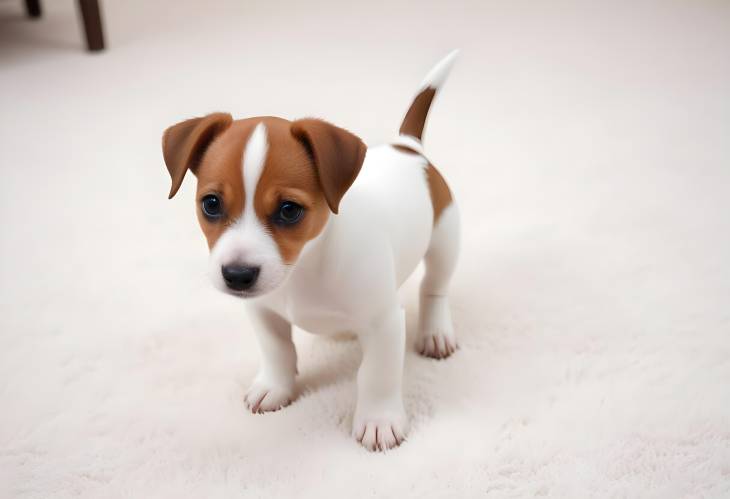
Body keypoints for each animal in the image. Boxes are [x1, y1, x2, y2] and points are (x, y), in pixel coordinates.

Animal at [163, 51, 460, 454]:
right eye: (211, 204)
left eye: (289, 210)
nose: (237, 275)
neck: (304, 268)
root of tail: (407, 147)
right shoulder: (263, 311)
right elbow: (278, 351)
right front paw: (275, 387)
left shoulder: (383, 323)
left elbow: (377, 374)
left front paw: (379, 420)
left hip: (445, 239)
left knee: (434, 288)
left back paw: (435, 331)